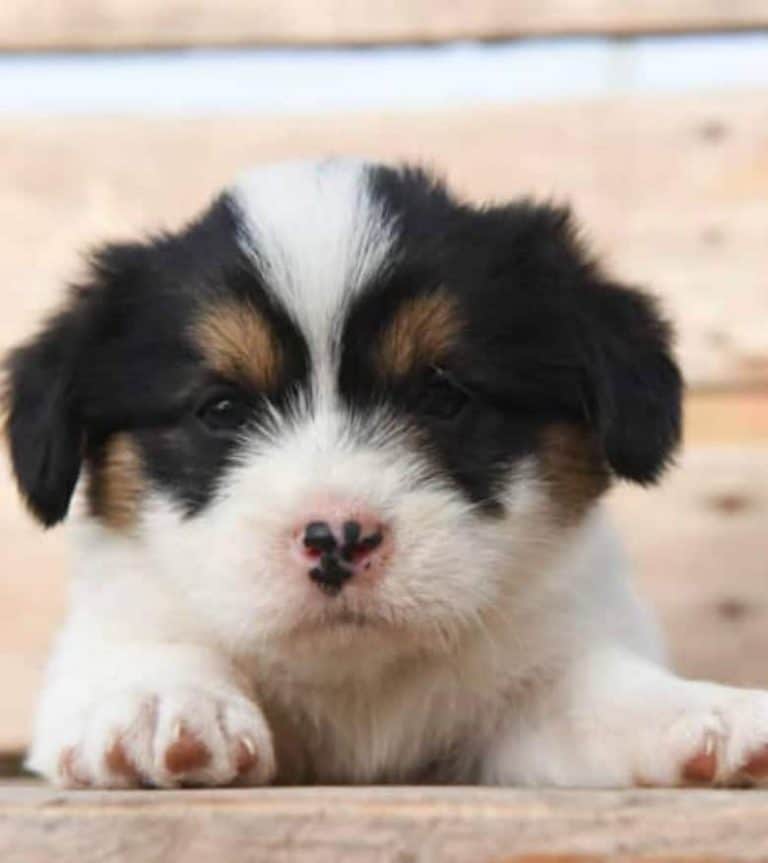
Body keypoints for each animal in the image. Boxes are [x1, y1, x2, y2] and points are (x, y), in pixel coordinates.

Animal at [6, 157, 768, 788]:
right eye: (220, 408)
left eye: (442, 396)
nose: (338, 538)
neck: (359, 680)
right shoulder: (109, 631)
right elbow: (155, 647)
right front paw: (161, 699)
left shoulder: (536, 682)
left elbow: (603, 691)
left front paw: (704, 710)